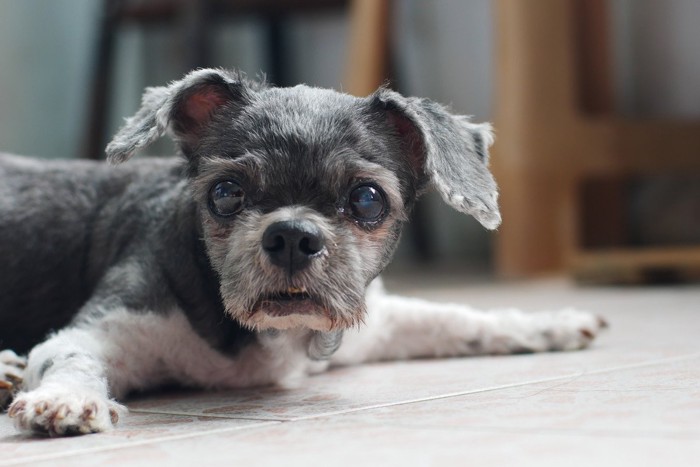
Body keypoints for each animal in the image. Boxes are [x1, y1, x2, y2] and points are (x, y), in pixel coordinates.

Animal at [0, 67, 604, 436]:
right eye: (226, 192)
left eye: (367, 199)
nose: (292, 234)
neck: (273, 336)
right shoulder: (107, 327)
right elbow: (69, 355)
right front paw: (65, 400)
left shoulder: (376, 322)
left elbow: (458, 319)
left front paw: (550, 323)